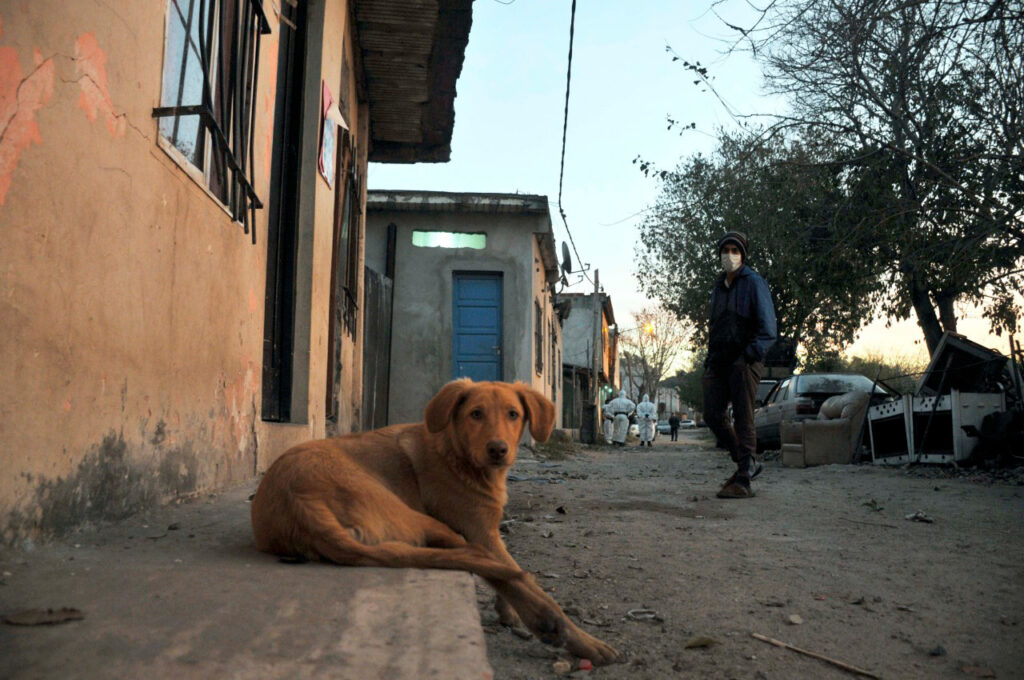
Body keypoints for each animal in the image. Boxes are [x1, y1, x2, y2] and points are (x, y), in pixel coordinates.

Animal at [251, 378, 618, 667]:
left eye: (513, 414)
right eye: (475, 414)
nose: (498, 449)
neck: (456, 454)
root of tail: (300, 504)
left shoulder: (486, 532)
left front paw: (509, 612)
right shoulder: (481, 532)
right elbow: (515, 578)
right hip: (420, 518)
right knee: (491, 567)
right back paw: (559, 628)